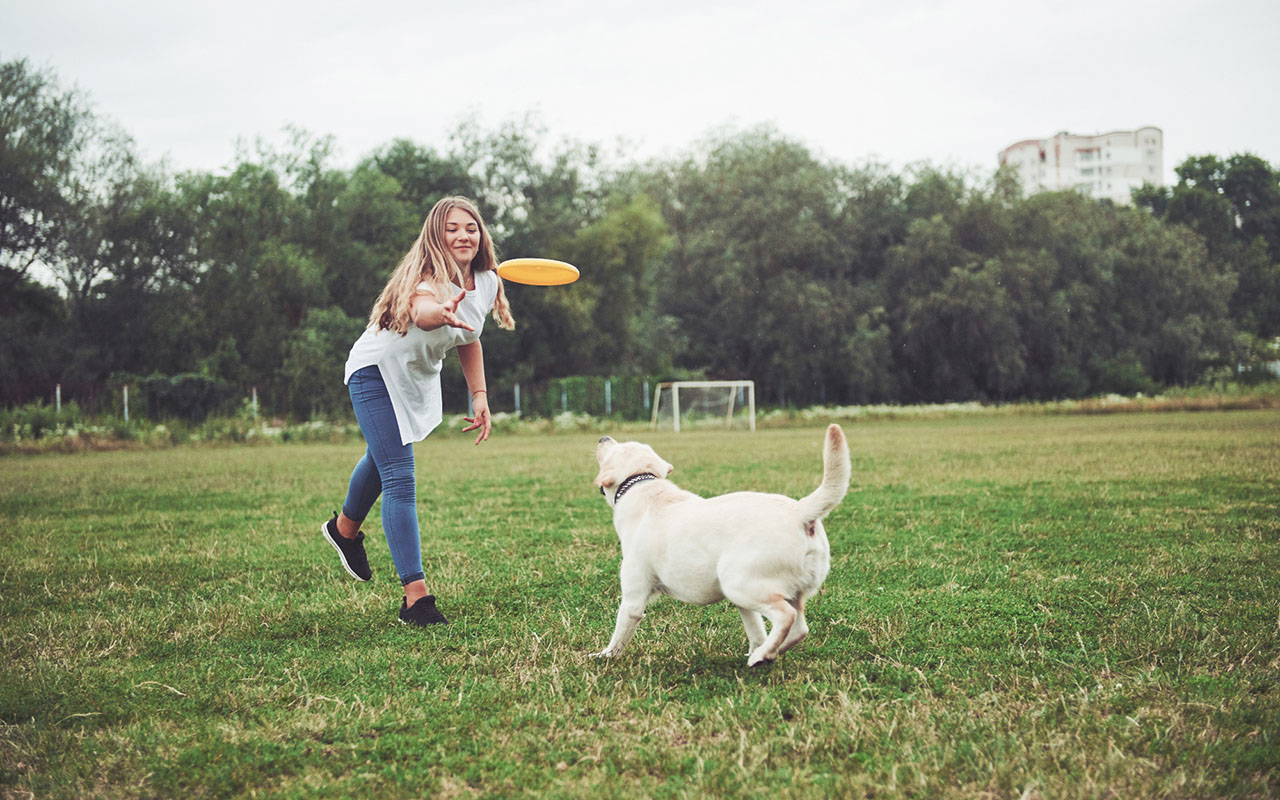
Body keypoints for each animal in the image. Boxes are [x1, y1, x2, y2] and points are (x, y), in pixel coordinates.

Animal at [591, 424, 849, 665]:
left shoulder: (633, 599)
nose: (603, 437)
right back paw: (766, 653)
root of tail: (800, 511)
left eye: (614, 447)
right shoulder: (745, 607)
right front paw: (758, 646)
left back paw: (761, 655)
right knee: (800, 628)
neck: (642, 485)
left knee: (786, 616)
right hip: (769, 592)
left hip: (738, 583)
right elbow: (756, 629)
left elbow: (620, 634)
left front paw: (604, 656)